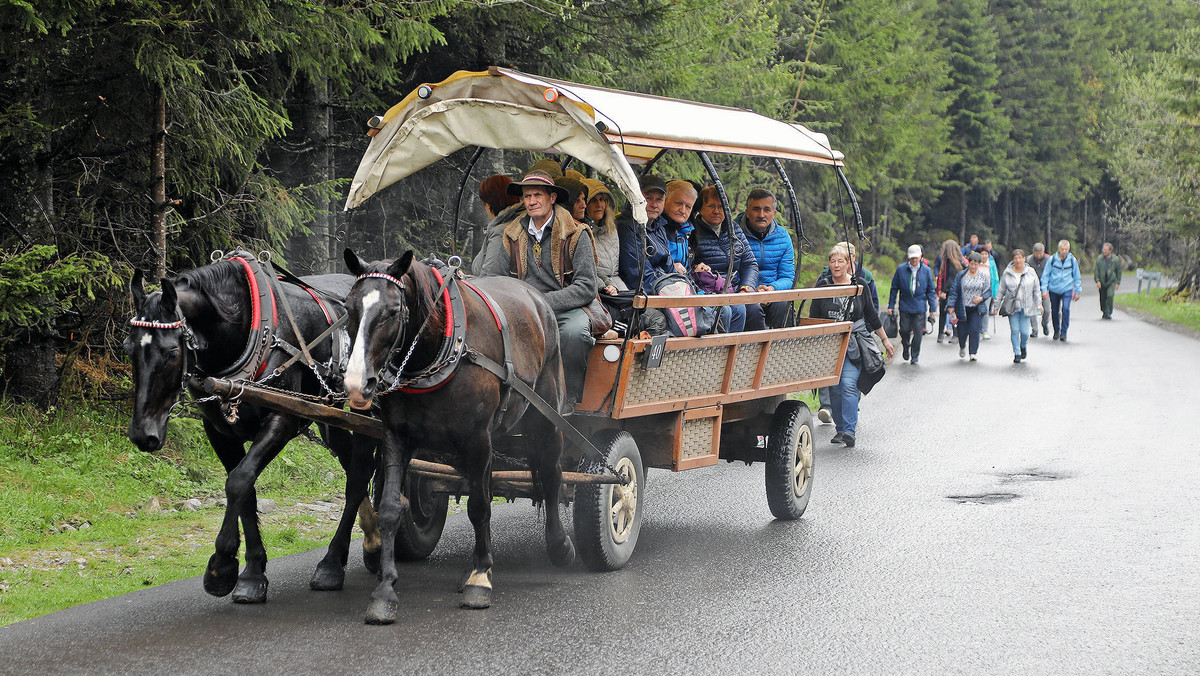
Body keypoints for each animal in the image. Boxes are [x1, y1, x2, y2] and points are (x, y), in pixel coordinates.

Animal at [126, 258, 379, 602]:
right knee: (353, 463)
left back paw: (333, 563)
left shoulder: (282, 420)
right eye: (128, 348)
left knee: (359, 474)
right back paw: (369, 540)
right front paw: (252, 571)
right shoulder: (219, 430)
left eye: (171, 352)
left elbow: (239, 481)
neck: (246, 330)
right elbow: (245, 492)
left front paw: (221, 565)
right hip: (330, 415)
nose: (143, 434)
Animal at [343, 248, 576, 624]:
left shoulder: (477, 440)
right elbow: (391, 507)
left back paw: (559, 546)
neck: (436, 350)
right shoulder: (396, 436)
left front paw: (480, 577)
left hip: (546, 418)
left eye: (392, 311)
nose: (356, 383)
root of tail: (537, 297)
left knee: (552, 475)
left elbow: (479, 507)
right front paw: (385, 589)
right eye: (349, 307)